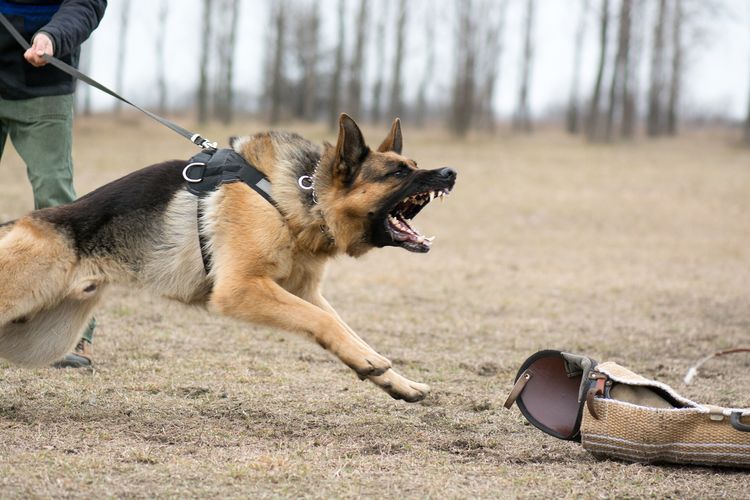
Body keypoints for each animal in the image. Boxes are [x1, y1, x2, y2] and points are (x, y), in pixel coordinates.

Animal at [0, 114, 456, 402]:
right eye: (398, 173)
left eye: (413, 164)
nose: (450, 172)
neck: (303, 194)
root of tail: (22, 222)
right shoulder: (241, 289)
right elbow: (326, 323)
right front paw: (372, 363)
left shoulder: (303, 292)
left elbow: (345, 329)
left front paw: (396, 381)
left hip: (44, 336)